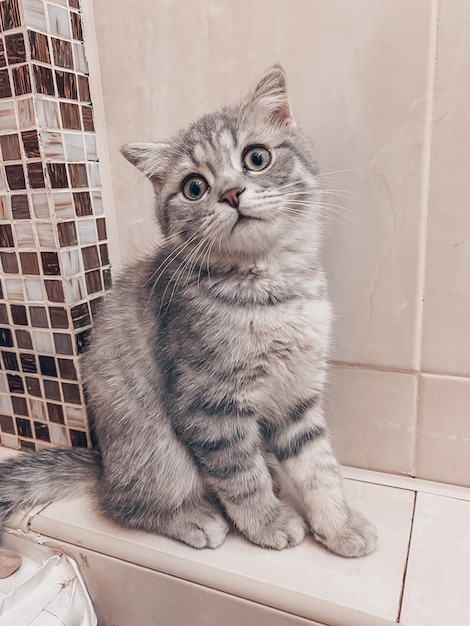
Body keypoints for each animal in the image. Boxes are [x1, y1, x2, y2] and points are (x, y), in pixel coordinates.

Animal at [0, 67, 376, 556]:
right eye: (194, 187)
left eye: (257, 157)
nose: (232, 193)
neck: (270, 290)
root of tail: (103, 462)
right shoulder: (207, 402)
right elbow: (240, 475)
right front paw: (268, 522)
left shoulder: (300, 392)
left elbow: (318, 465)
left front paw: (339, 524)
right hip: (155, 445)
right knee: (121, 500)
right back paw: (193, 517)